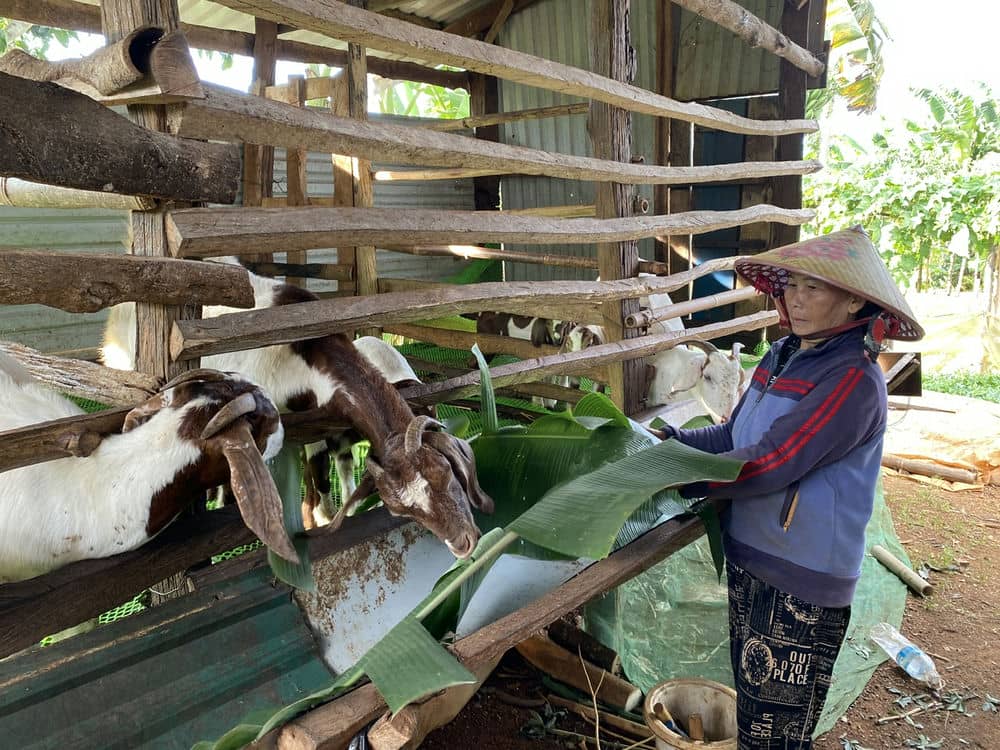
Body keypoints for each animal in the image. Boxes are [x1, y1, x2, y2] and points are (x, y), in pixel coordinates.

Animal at [101, 264, 492, 560]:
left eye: (445, 473)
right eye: (401, 510)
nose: (463, 544)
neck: (304, 353)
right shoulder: (292, 428)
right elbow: (316, 480)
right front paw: (316, 521)